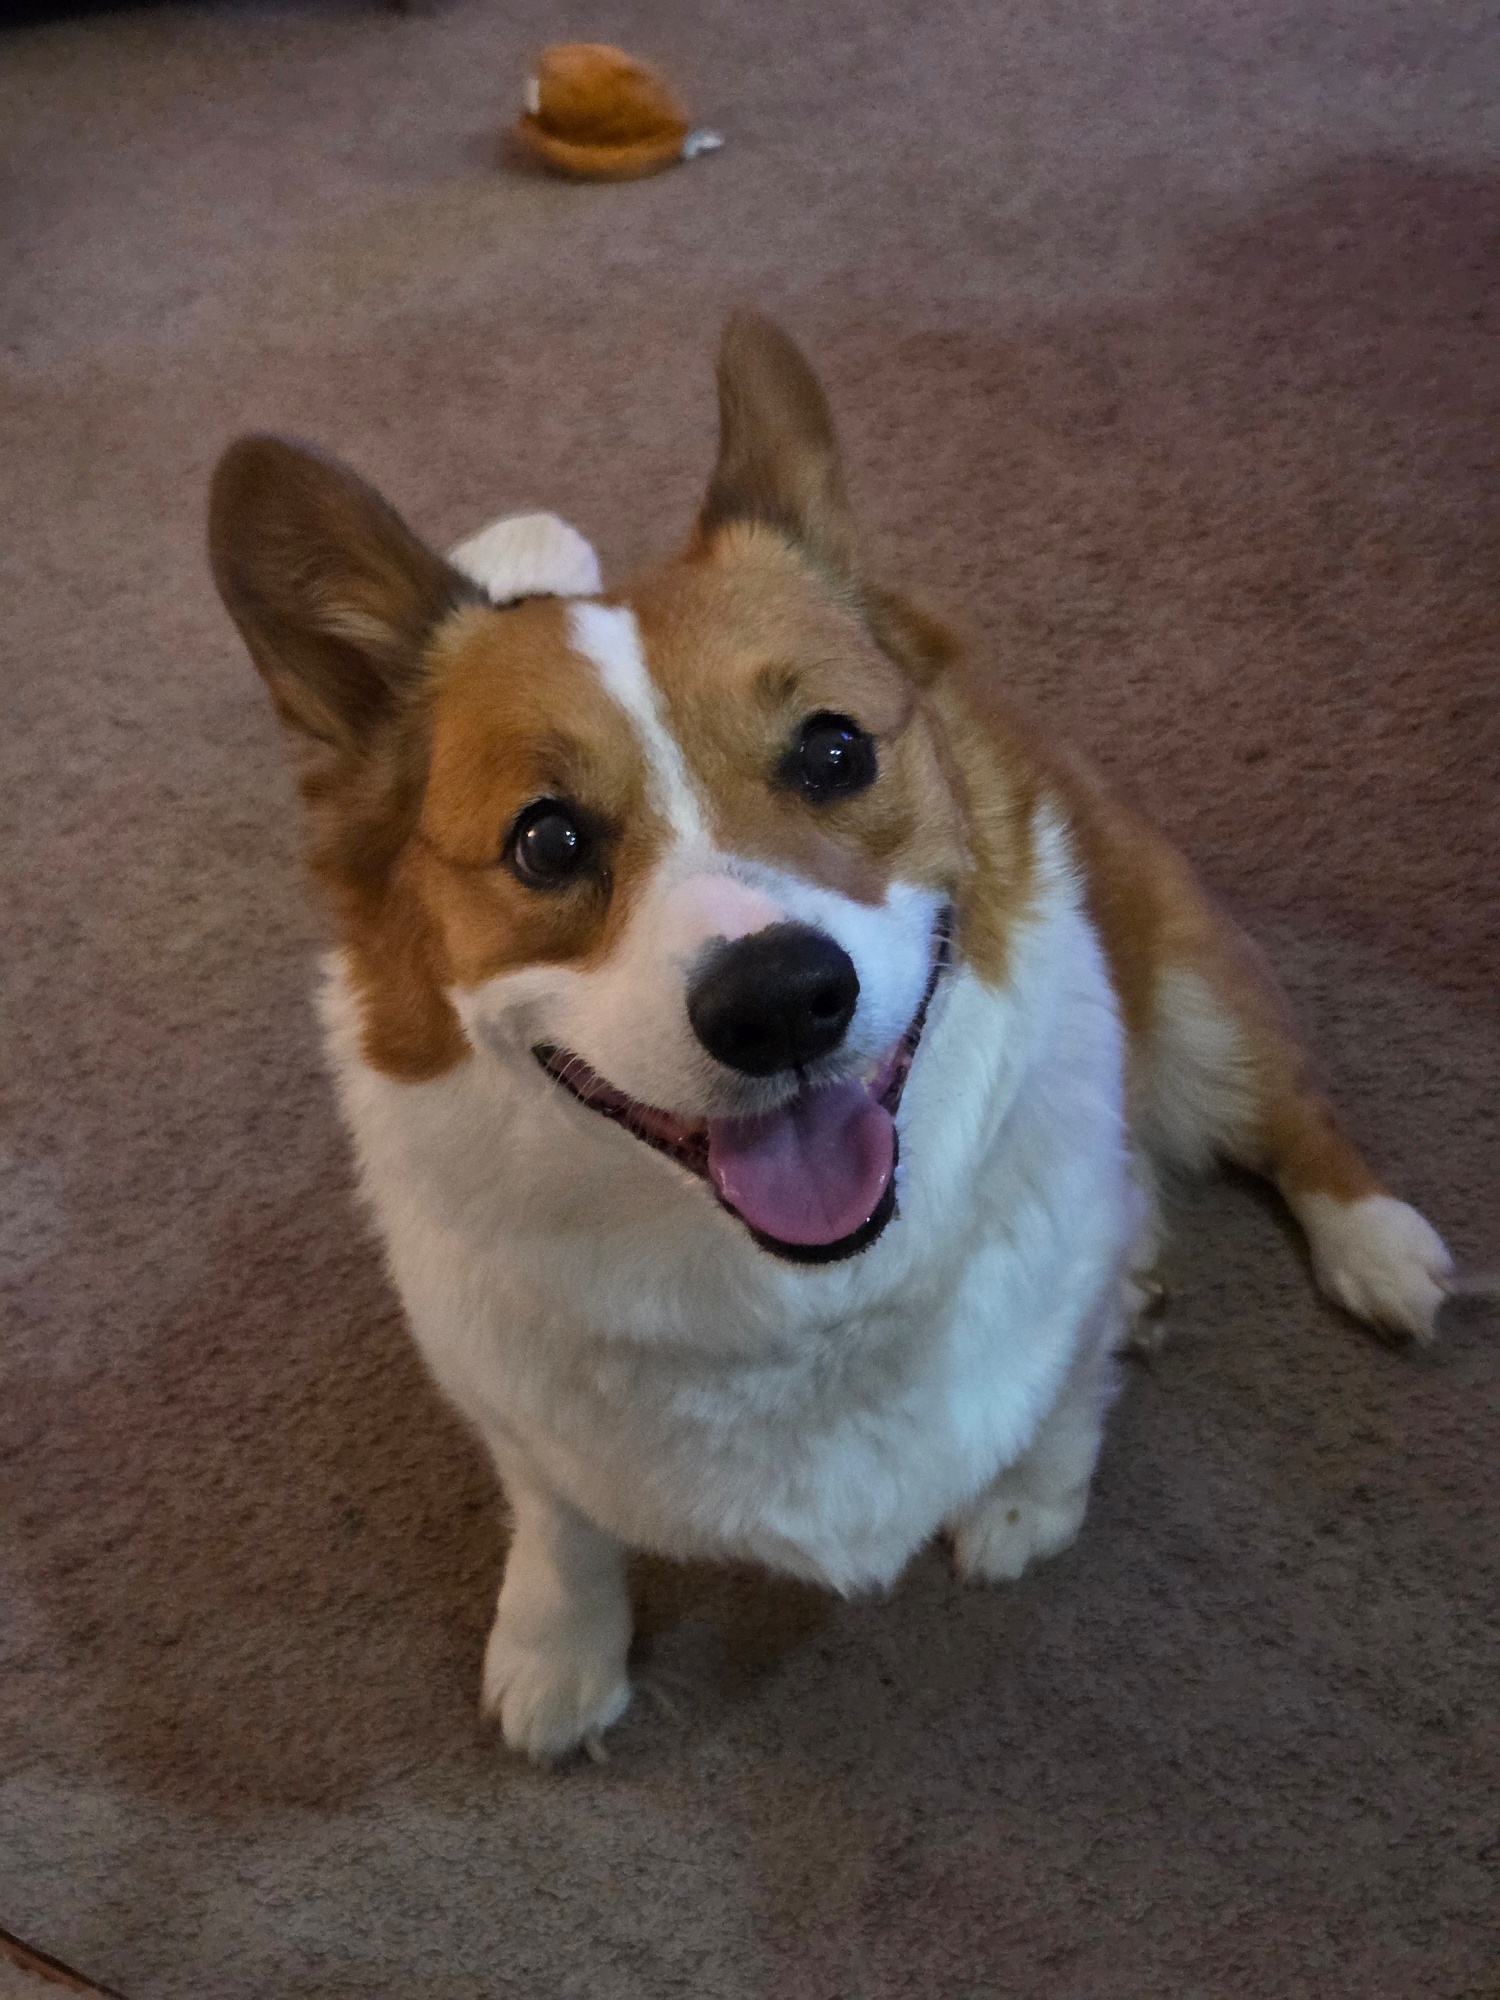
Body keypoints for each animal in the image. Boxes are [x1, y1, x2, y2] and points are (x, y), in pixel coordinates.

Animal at [208, 313, 1453, 1761]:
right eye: (547, 840)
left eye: (836, 750)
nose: (779, 999)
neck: (801, 1298)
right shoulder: (514, 1409)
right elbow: (563, 1519)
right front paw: (559, 1649)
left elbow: (1053, 1403)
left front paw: (1028, 1497)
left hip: (1194, 1001)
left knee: (1288, 1113)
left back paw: (1373, 1246)